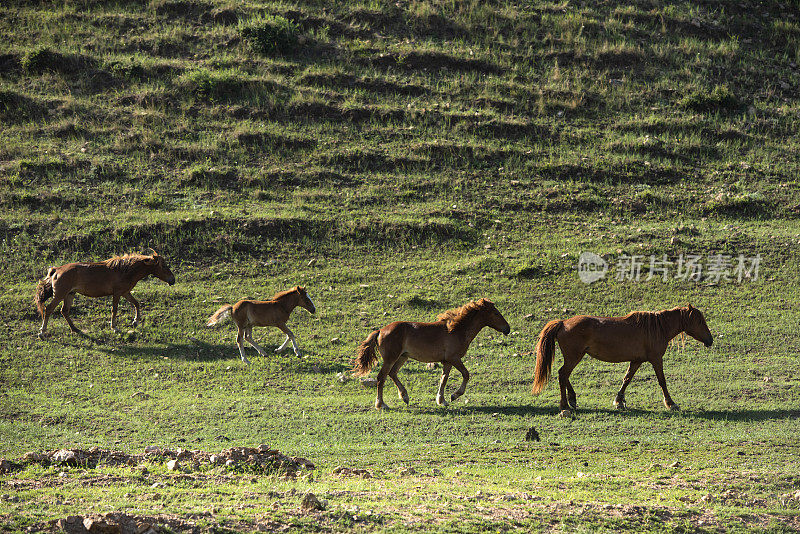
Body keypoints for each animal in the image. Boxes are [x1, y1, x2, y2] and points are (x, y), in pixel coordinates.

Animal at [34, 252, 175, 340]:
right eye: (163, 265)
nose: (172, 280)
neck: (125, 270)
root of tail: (56, 270)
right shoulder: (117, 293)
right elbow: (114, 310)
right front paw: (114, 328)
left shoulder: (125, 292)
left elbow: (136, 303)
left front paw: (135, 321)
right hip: (59, 295)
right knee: (48, 309)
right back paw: (42, 332)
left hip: (69, 294)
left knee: (64, 311)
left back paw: (75, 329)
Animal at [352, 300, 510, 412]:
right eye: (496, 313)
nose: (507, 329)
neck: (456, 330)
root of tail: (380, 331)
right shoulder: (454, 358)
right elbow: (466, 374)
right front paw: (454, 395)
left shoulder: (447, 362)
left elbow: (443, 379)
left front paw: (442, 400)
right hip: (390, 358)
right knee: (381, 377)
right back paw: (382, 404)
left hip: (402, 357)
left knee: (392, 373)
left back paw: (405, 397)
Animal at [532, 306, 712, 418]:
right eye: (700, 321)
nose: (710, 340)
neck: (657, 328)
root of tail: (563, 323)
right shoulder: (656, 359)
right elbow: (662, 381)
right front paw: (671, 403)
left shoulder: (636, 361)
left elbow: (627, 379)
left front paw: (619, 401)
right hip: (574, 357)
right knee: (562, 374)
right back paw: (565, 406)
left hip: (575, 357)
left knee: (564, 375)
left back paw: (572, 399)